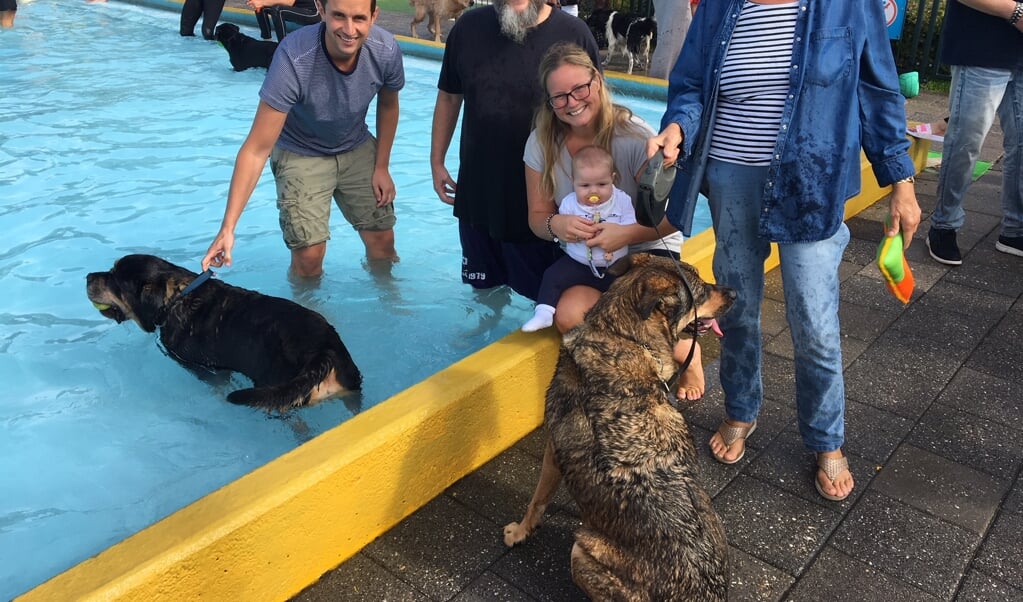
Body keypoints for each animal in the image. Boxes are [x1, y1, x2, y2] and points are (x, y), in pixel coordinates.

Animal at [86, 251, 364, 411]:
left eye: (114, 279)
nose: (87, 276)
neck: (177, 297)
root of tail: (323, 349)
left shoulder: (197, 365)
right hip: (350, 386)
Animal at [503, 254, 736, 602]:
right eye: (702, 290)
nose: (735, 293)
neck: (620, 335)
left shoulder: (553, 450)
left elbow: (536, 501)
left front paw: (519, 532)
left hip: (580, 551)